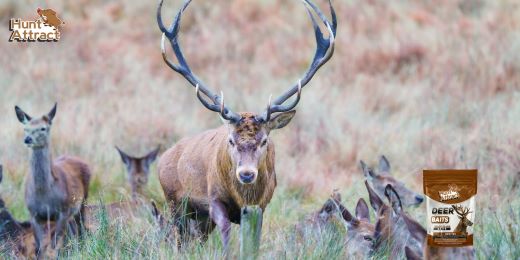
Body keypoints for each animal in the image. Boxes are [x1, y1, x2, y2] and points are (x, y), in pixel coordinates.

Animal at [14, 102, 91, 255]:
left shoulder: (62, 211)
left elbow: (54, 245)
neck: (44, 194)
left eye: (43, 128)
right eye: (25, 128)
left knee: (81, 229)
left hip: (83, 200)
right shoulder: (33, 214)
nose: (27, 139)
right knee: (74, 231)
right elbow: (39, 248)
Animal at [156, 0, 338, 251]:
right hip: (174, 202)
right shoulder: (214, 199)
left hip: (198, 218)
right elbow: (225, 232)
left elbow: (253, 242)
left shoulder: (260, 206)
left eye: (264, 141)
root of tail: (164, 157)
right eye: (231, 140)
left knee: (196, 239)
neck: (243, 197)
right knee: (179, 237)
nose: (246, 174)